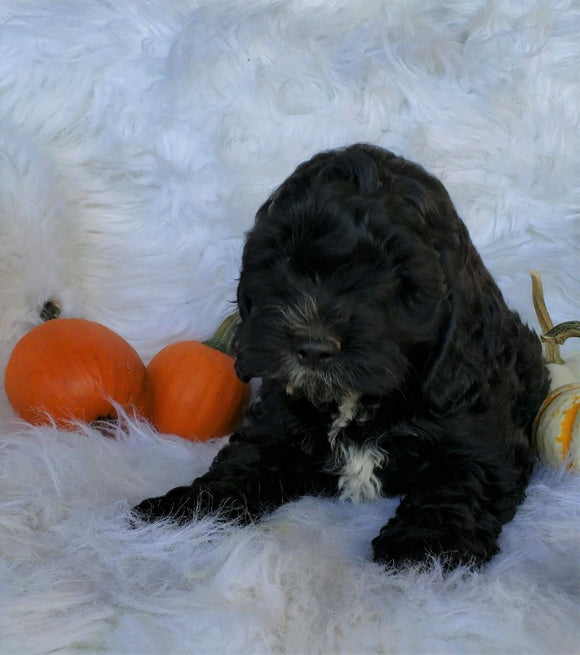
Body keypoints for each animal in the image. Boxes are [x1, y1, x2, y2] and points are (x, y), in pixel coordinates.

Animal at [135, 145, 548, 568]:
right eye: (284, 261)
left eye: (398, 277)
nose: (313, 346)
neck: (353, 399)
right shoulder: (276, 417)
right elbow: (244, 460)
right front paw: (191, 507)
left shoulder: (476, 427)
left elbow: (462, 476)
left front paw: (428, 545)